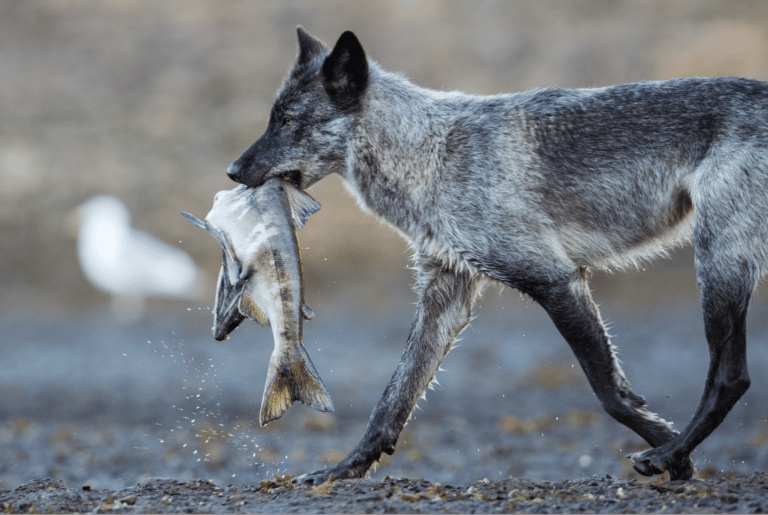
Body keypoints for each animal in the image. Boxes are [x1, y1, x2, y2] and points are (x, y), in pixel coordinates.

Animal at [224, 26, 768, 482]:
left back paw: (672, 451)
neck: (432, 155)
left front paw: (672, 454)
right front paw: (345, 470)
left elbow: (610, 393)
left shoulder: (556, 280)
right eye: (274, 119)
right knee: (735, 375)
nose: (231, 171)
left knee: (732, 377)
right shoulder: (446, 296)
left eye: (288, 121)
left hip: (717, 266)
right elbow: (393, 399)